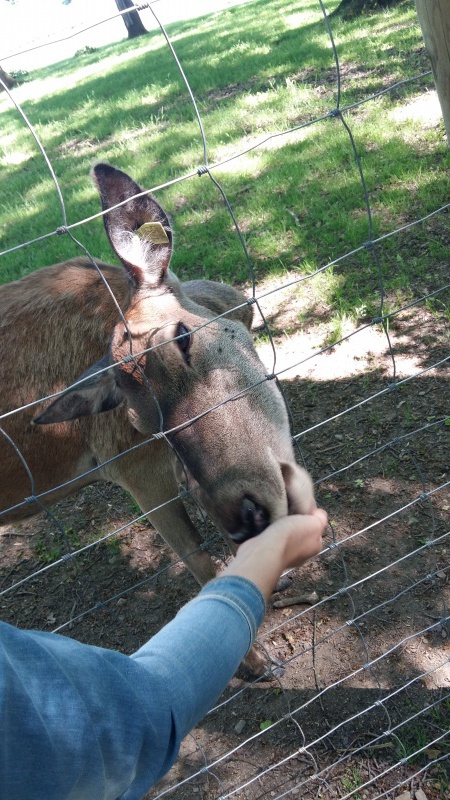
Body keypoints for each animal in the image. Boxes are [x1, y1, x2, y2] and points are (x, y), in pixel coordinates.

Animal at [0, 166, 314, 680]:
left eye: (182, 337)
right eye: (138, 420)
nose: (245, 516)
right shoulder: (131, 463)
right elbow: (197, 558)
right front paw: (260, 662)